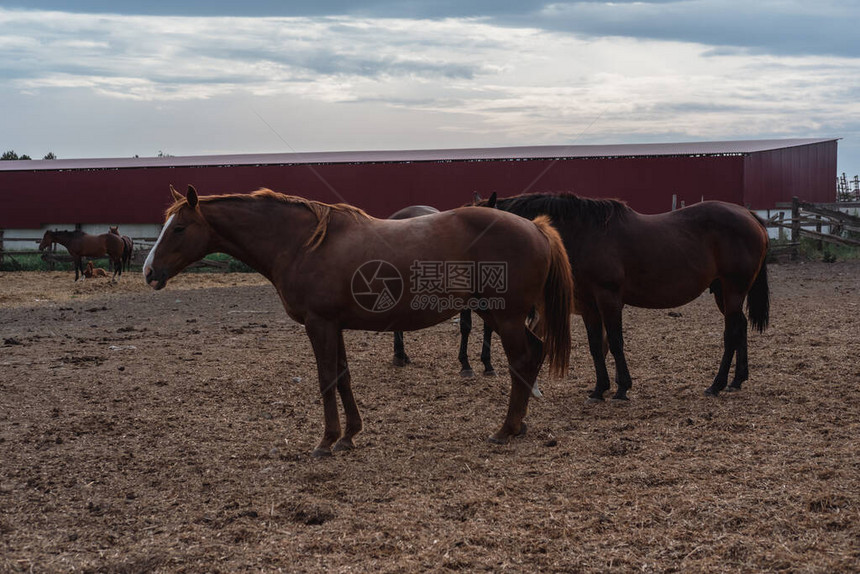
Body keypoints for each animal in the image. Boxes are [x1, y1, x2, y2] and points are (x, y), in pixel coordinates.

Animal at [384, 205, 498, 380]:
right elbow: (466, 326)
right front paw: (466, 366)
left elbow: (488, 327)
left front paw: (488, 364)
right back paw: (399, 355)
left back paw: (402, 355)